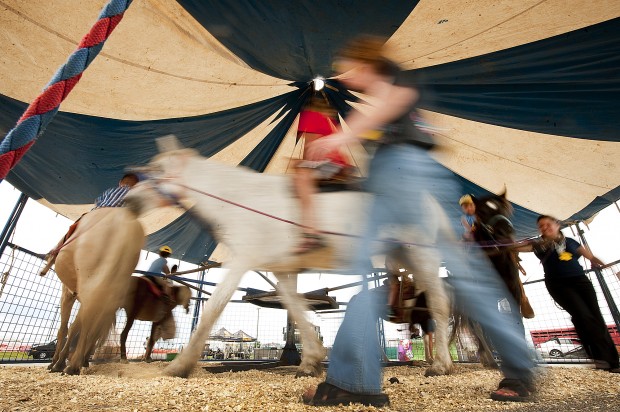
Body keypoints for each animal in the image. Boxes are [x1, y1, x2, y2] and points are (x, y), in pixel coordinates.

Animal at [127, 136, 456, 380]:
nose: (129, 200)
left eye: (157, 168)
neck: (238, 199)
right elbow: (295, 309)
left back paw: (441, 365)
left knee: (439, 305)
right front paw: (310, 361)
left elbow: (213, 309)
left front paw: (179, 367)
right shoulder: (280, 268)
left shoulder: (242, 259)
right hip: (404, 254)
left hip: (421, 252)